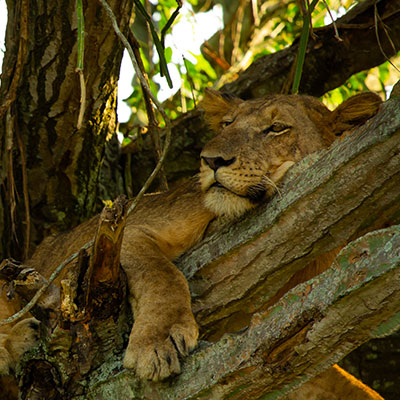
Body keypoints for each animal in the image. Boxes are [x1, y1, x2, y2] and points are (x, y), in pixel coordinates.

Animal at [0, 89, 383, 398]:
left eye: (276, 128)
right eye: (226, 124)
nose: (211, 160)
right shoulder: (125, 226)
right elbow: (161, 273)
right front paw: (157, 343)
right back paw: (17, 341)